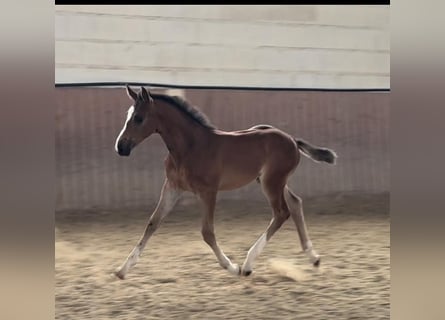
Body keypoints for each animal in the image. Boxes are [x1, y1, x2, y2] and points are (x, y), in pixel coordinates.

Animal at [112, 86, 334, 278]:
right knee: (295, 204)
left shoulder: (208, 191)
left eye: (139, 118)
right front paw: (122, 270)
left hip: (271, 182)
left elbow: (207, 232)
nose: (120, 147)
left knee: (281, 213)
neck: (190, 147)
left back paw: (247, 265)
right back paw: (313, 258)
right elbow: (153, 222)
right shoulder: (172, 187)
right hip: (273, 181)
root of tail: (292, 140)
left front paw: (232, 267)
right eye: (128, 116)